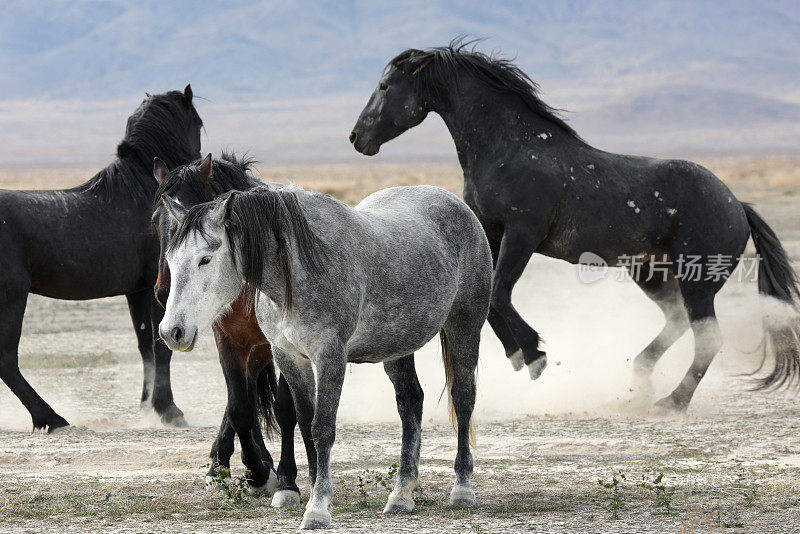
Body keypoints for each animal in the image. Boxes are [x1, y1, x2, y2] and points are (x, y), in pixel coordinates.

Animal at [0, 87, 200, 432]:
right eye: (198, 123)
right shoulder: (158, 288)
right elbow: (161, 347)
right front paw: (169, 411)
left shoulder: (137, 291)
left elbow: (146, 347)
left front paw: (146, 407)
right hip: (13, 296)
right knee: (7, 360)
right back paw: (51, 418)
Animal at [152, 154, 314, 506]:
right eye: (155, 221)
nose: (164, 291)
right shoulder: (226, 340)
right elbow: (240, 407)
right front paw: (256, 470)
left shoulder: (283, 346)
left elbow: (285, 408)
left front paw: (285, 481)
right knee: (245, 394)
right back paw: (224, 465)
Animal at [159, 181, 490, 532]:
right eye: (170, 259)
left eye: (205, 259)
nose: (171, 331)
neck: (297, 273)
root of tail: (457, 204)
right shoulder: (290, 358)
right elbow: (305, 423)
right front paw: (311, 493)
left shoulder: (329, 355)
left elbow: (322, 429)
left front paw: (317, 508)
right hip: (397, 346)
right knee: (410, 403)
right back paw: (401, 495)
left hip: (465, 326)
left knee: (463, 398)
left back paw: (462, 488)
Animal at [350, 40, 800, 414]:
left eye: (386, 85)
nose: (357, 138)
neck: (508, 148)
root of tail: (737, 205)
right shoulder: (491, 234)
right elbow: (491, 299)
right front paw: (521, 355)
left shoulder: (522, 233)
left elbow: (500, 293)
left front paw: (534, 355)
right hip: (650, 272)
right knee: (677, 320)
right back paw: (638, 381)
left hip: (698, 277)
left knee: (707, 337)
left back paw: (671, 402)